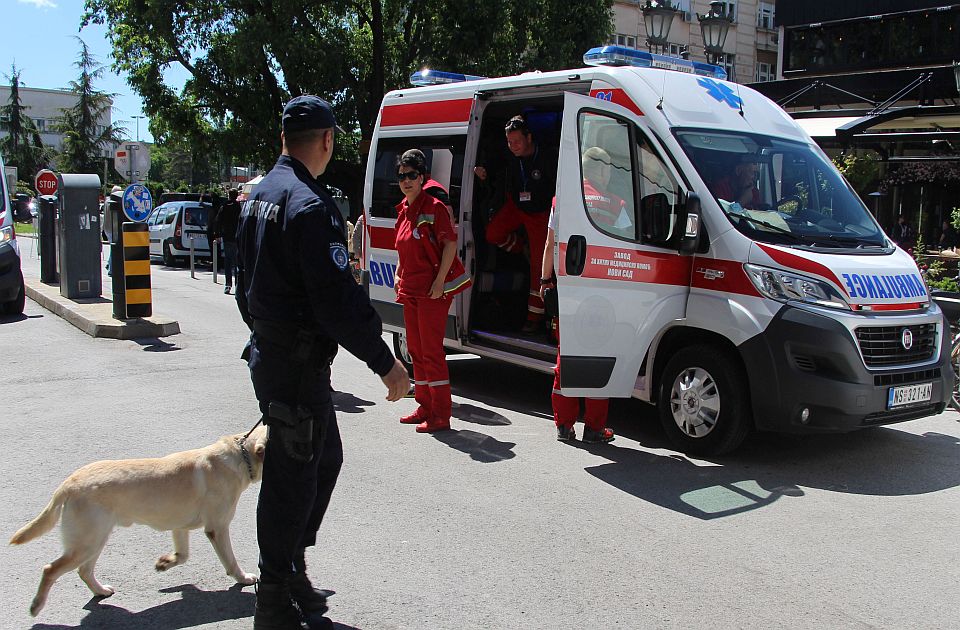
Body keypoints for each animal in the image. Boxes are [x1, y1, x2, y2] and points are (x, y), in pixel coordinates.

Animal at [9, 428, 268, 620]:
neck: (240, 455)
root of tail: (67, 484)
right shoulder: (218, 527)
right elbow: (230, 561)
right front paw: (243, 578)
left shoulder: (180, 526)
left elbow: (183, 555)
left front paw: (166, 563)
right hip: (87, 542)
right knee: (51, 569)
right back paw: (36, 605)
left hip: (95, 540)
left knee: (84, 571)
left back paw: (100, 591)